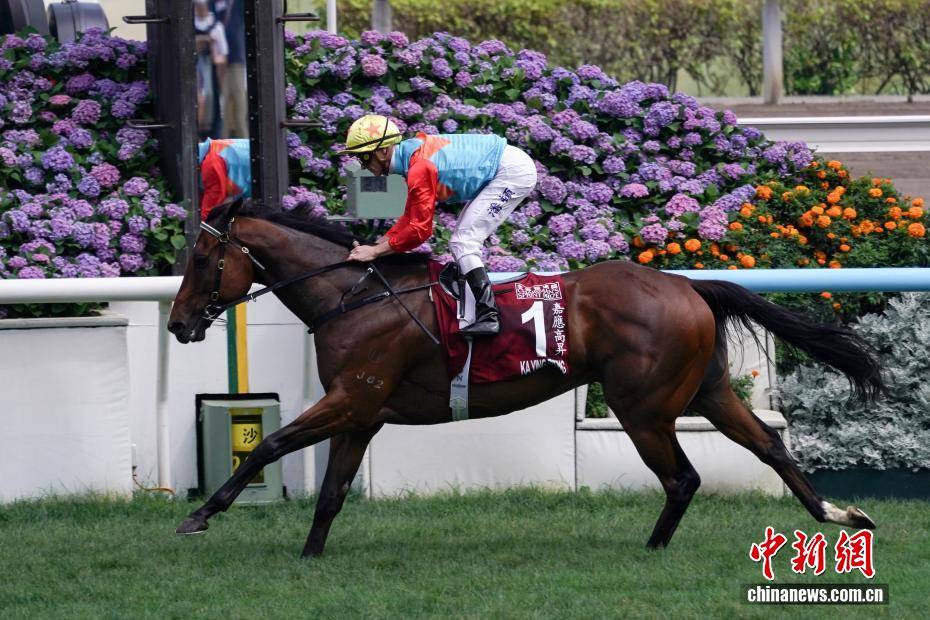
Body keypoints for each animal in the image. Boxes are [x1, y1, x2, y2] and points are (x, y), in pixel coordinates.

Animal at [168, 199, 883, 558]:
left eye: (202, 259)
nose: (177, 324)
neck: (354, 295)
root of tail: (687, 284)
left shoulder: (350, 398)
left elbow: (269, 444)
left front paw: (200, 514)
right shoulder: (362, 412)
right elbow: (332, 492)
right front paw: (310, 557)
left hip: (642, 406)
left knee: (684, 477)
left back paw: (651, 549)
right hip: (706, 390)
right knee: (767, 444)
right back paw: (839, 513)